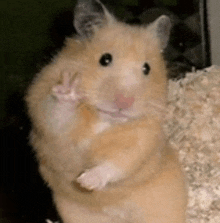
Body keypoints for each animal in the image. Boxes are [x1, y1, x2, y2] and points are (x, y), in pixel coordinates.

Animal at [25, 0, 187, 221]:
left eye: (147, 68)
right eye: (105, 59)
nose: (124, 102)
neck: (104, 120)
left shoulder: (143, 140)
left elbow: (120, 162)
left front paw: (86, 182)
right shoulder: (47, 116)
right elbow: (58, 114)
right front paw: (69, 89)